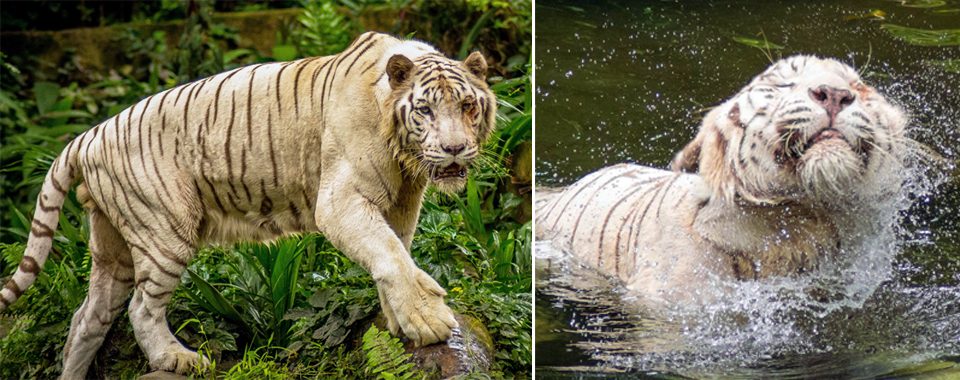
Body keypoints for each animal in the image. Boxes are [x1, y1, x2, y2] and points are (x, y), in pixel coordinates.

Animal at [0, 31, 496, 378]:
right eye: (425, 110)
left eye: (468, 107)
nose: (454, 150)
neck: (405, 157)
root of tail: (88, 135)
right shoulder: (340, 200)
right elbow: (390, 255)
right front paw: (428, 320)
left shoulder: (402, 204)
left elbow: (396, 253)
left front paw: (400, 320)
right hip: (164, 231)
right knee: (141, 308)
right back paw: (178, 359)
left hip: (113, 248)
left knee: (87, 320)